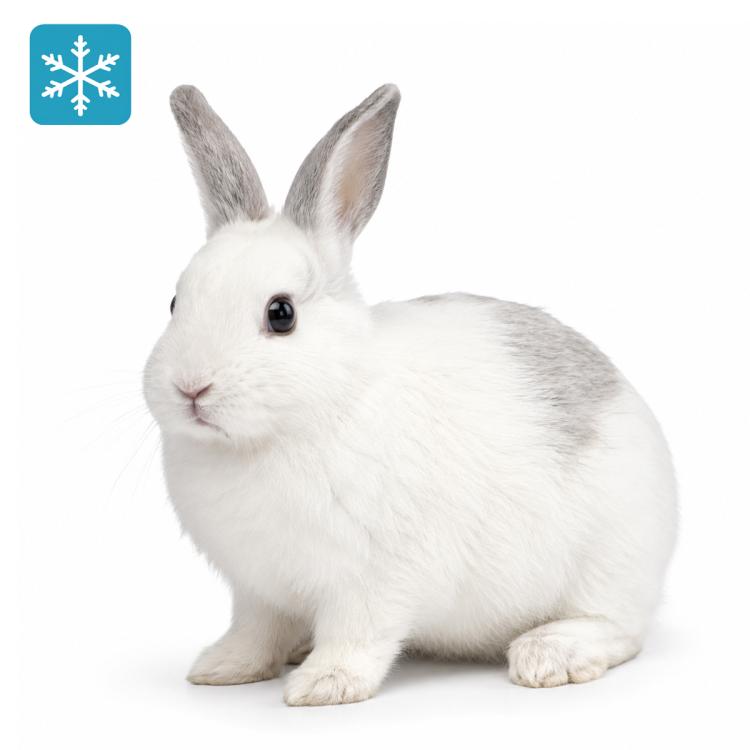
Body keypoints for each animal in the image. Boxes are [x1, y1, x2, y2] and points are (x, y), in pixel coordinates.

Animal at [143, 83, 677, 706]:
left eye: (281, 314)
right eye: (175, 303)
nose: (190, 387)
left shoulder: (372, 581)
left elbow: (358, 634)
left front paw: (324, 685)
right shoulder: (258, 589)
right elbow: (255, 632)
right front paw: (222, 668)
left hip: (611, 560)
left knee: (618, 628)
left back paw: (548, 655)